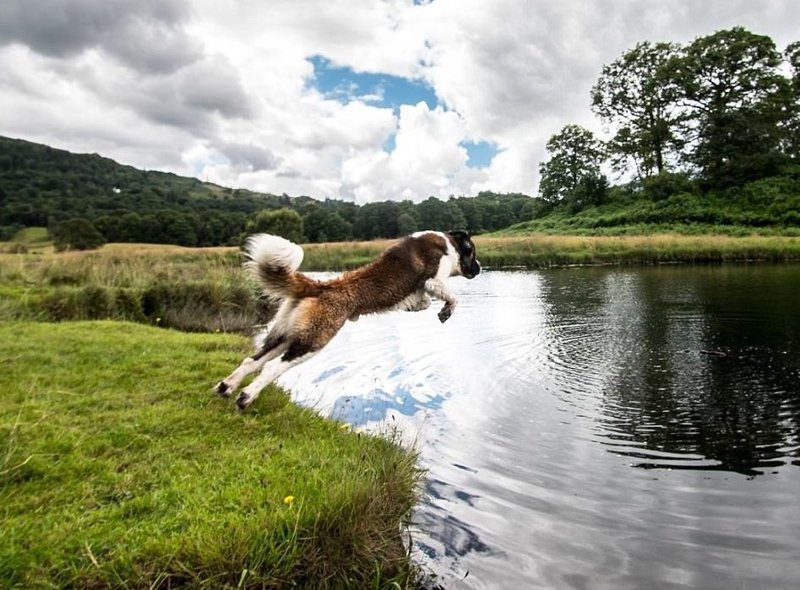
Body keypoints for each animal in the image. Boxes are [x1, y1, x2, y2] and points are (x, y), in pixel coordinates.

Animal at [216, 231, 482, 412]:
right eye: (473, 252)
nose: (479, 268)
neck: (448, 242)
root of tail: (321, 286)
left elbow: (423, 301)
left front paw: (426, 306)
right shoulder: (433, 279)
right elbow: (451, 295)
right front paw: (446, 310)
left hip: (288, 333)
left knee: (252, 360)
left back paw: (226, 387)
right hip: (315, 339)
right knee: (272, 367)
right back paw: (246, 396)